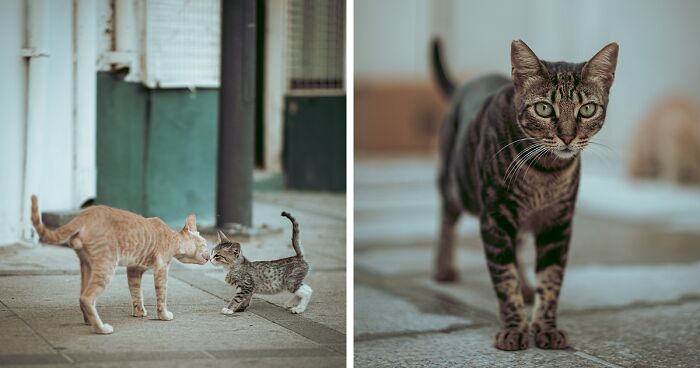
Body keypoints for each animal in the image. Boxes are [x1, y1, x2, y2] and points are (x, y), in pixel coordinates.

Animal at [30, 197, 209, 334]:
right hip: (106, 266)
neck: (172, 238)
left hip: (87, 266)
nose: (209, 257)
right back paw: (101, 328)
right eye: (205, 244)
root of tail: (86, 213)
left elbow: (136, 293)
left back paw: (89, 322)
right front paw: (163, 315)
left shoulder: (134, 269)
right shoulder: (161, 268)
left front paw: (139, 312)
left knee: (82, 296)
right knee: (86, 297)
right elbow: (162, 294)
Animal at [432, 39, 616, 350]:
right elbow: (504, 280)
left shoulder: (558, 223)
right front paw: (514, 328)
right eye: (543, 109)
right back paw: (443, 267)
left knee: (517, 247)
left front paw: (545, 326)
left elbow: (551, 281)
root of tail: (466, 83)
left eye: (587, 109)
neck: (545, 173)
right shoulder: (495, 218)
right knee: (446, 216)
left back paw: (527, 287)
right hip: (458, 185)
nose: (567, 137)